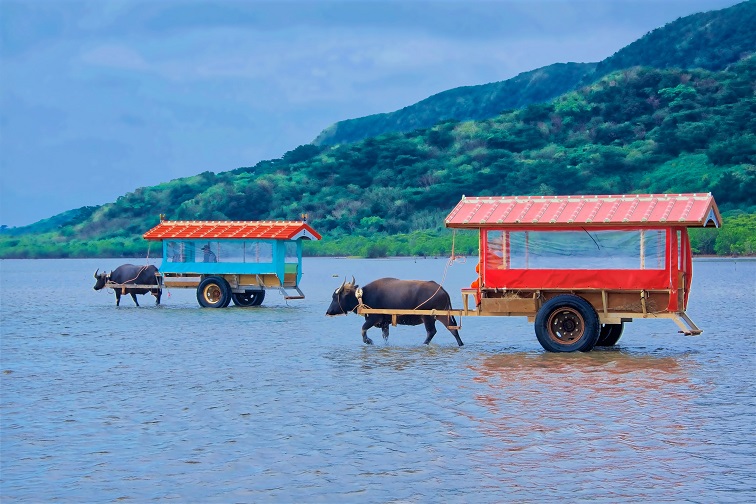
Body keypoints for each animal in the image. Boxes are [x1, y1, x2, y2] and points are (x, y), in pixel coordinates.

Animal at [328, 276, 464, 346]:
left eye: (335, 297)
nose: (328, 311)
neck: (363, 297)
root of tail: (441, 289)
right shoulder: (384, 323)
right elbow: (385, 336)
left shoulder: (374, 318)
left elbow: (363, 329)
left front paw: (368, 341)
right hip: (442, 315)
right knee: (453, 328)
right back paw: (460, 343)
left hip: (428, 317)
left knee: (431, 332)